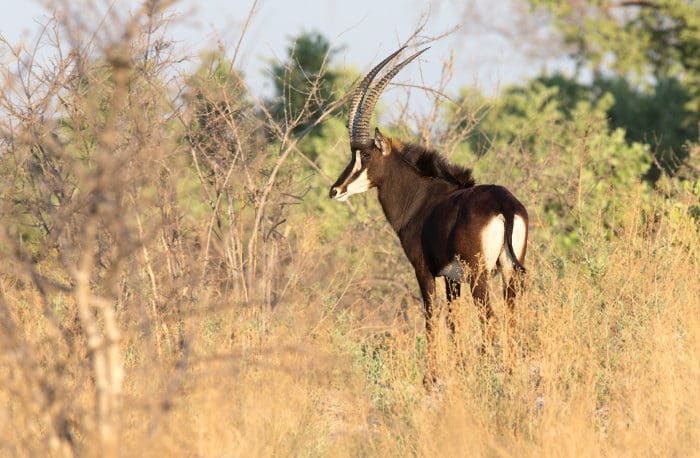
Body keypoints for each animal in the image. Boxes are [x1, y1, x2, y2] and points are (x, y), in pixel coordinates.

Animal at [330, 47, 528, 382]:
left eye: (365, 154)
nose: (335, 190)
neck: (420, 199)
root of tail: (504, 205)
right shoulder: (451, 278)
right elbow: (453, 321)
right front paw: (459, 368)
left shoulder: (424, 270)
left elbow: (431, 316)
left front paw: (432, 376)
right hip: (509, 272)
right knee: (511, 315)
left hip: (479, 275)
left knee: (489, 317)